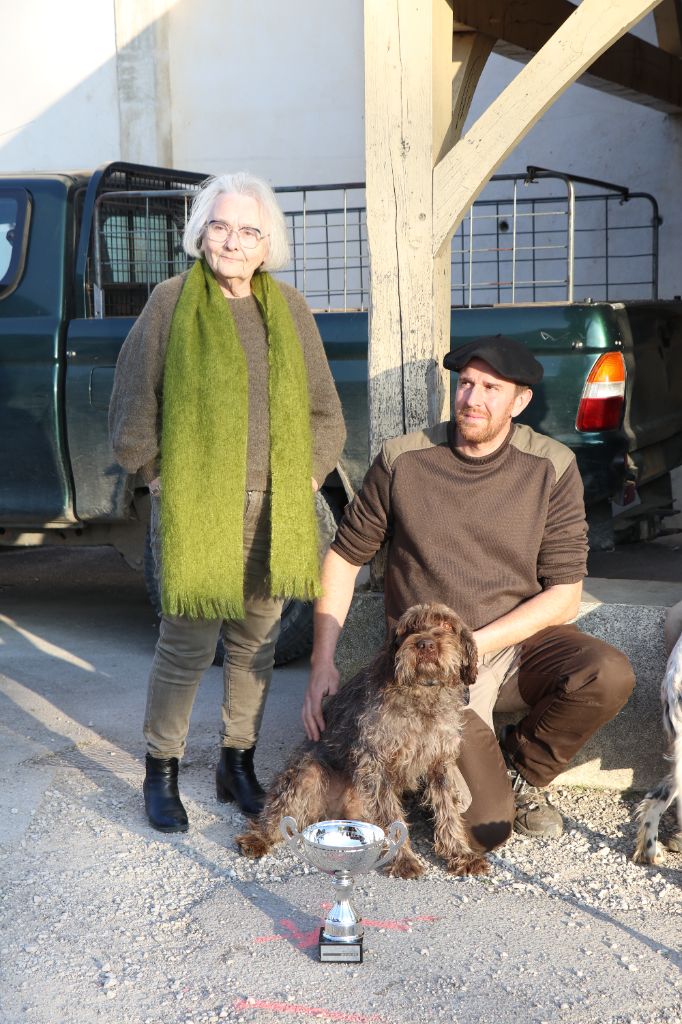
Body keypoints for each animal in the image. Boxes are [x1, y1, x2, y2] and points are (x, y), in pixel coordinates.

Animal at [236, 602, 485, 876]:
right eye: (410, 628)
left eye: (447, 625)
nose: (426, 644)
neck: (422, 694)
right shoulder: (375, 763)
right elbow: (392, 817)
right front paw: (403, 859)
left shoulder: (439, 763)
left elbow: (448, 812)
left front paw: (460, 854)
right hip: (308, 773)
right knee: (275, 812)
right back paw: (258, 837)